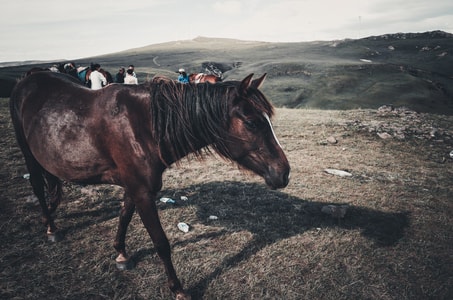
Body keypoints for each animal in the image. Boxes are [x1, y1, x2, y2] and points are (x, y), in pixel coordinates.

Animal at [9, 71, 290, 298]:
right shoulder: (143, 193)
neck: (144, 126)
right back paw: (51, 227)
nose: (284, 172)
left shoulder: (134, 187)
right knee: (38, 187)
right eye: (252, 122)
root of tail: (28, 79)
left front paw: (121, 254)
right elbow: (161, 243)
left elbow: (124, 216)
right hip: (28, 153)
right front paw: (178, 289)